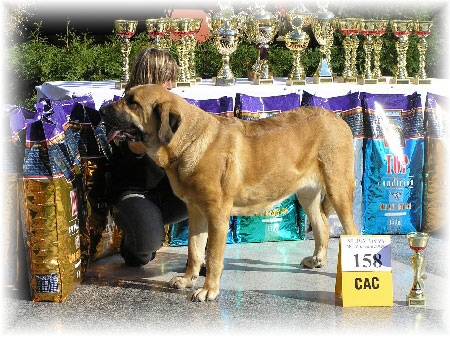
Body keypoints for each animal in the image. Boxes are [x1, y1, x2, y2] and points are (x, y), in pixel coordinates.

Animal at [99, 84, 358, 302]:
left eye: (133, 102)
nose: (101, 110)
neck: (188, 140)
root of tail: (338, 119)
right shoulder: (196, 212)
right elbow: (194, 250)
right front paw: (188, 280)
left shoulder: (217, 214)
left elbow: (213, 256)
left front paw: (208, 290)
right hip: (307, 193)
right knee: (322, 225)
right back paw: (317, 260)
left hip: (338, 188)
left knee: (352, 231)